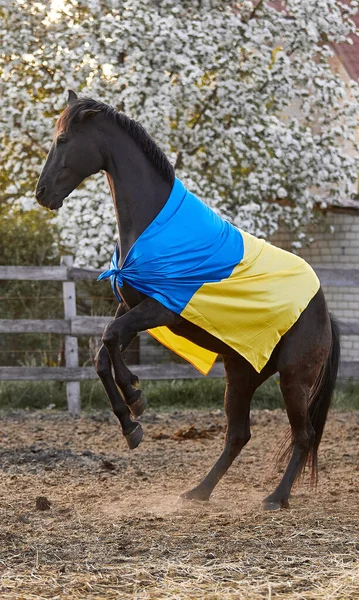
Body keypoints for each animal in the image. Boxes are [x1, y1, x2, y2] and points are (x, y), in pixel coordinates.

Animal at [34, 91, 340, 508]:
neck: (154, 225)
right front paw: (131, 425)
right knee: (238, 434)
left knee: (303, 435)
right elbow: (101, 356)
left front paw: (135, 396)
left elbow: (110, 340)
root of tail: (322, 308)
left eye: (63, 140)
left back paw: (276, 498)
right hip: (241, 373)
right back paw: (199, 491)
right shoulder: (134, 308)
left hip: (294, 379)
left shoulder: (160, 309)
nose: (42, 194)